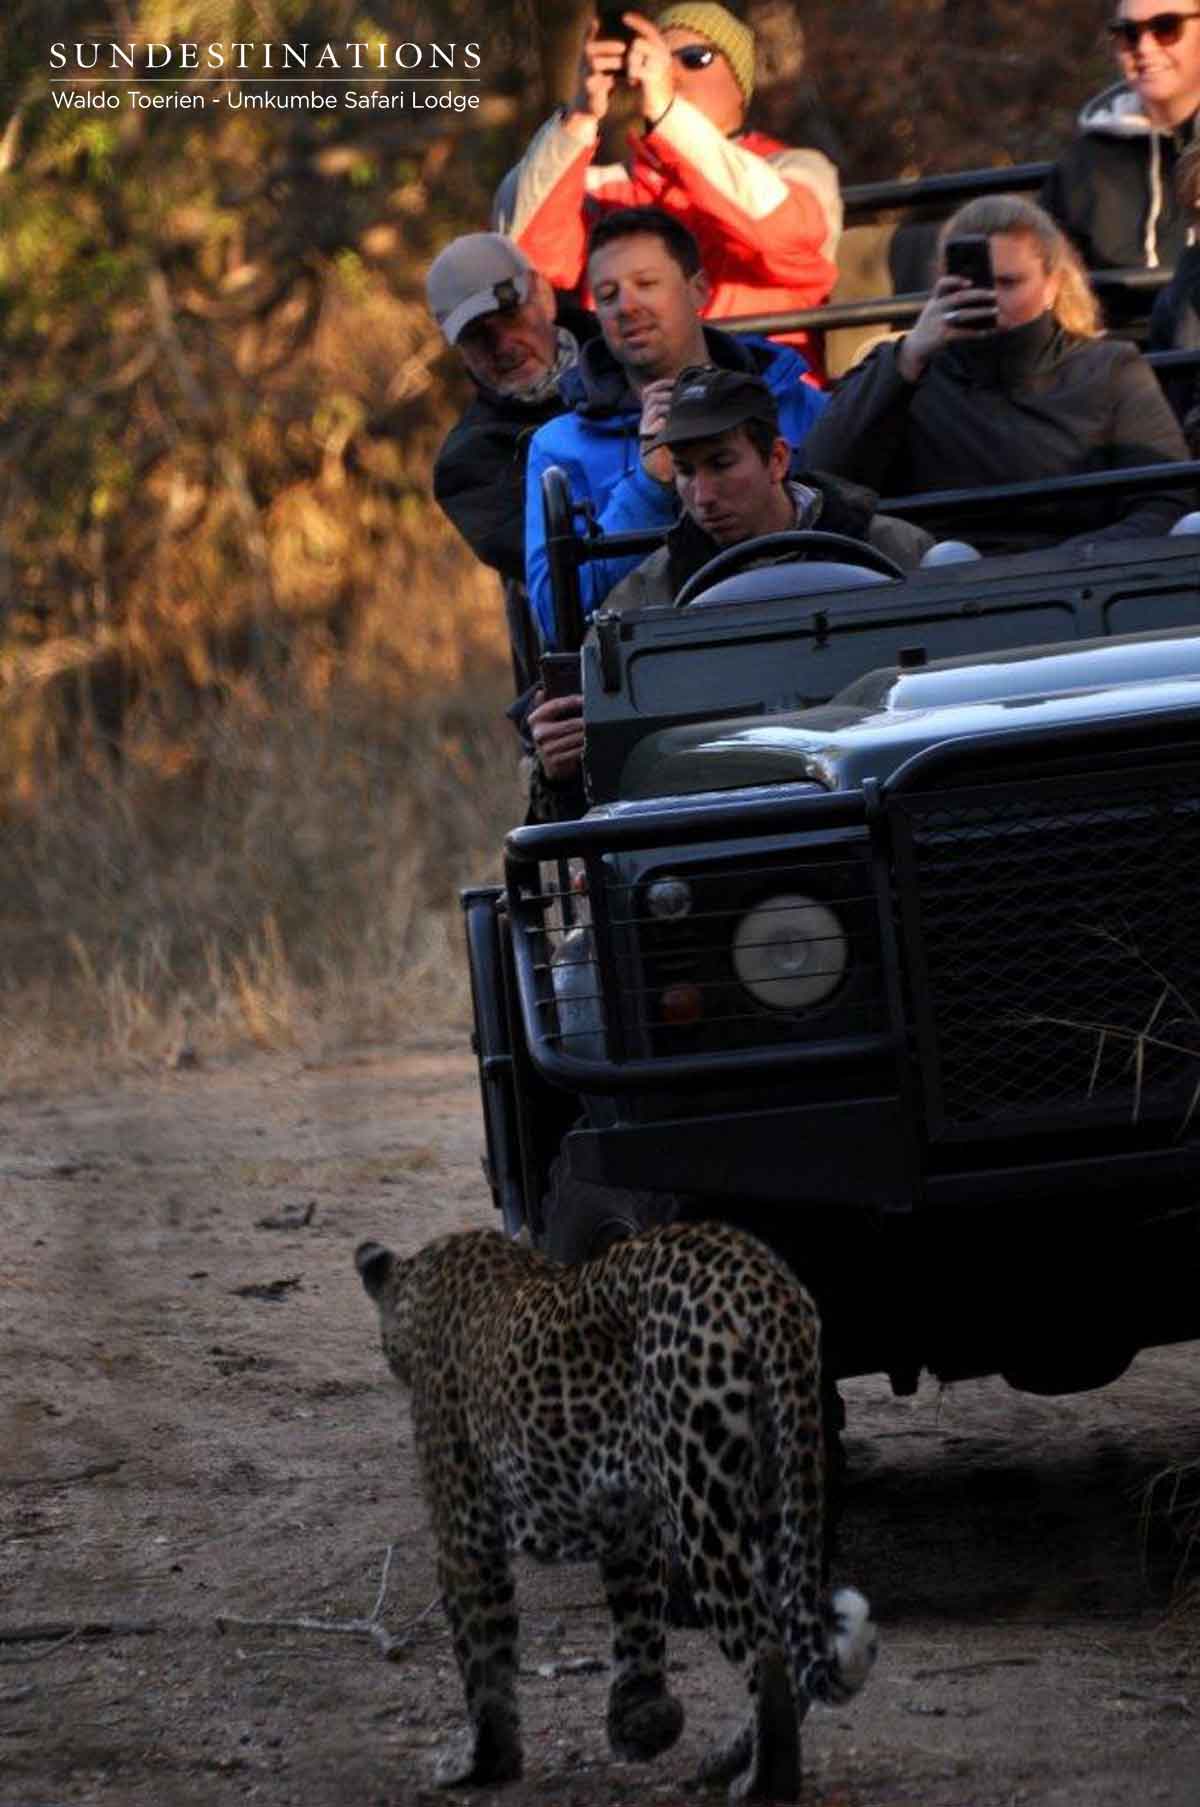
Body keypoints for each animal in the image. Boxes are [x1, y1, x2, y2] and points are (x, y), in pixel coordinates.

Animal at [355, 1218, 876, 1803]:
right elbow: (636, 1623)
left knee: (765, 1649)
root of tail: (764, 1286)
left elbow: (484, 1654)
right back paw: (724, 1759)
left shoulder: (466, 1524)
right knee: (791, 1637)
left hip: (701, 1499)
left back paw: (765, 1780)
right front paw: (643, 1721)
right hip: (780, 1485)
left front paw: (485, 1762)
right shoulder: (628, 1524)